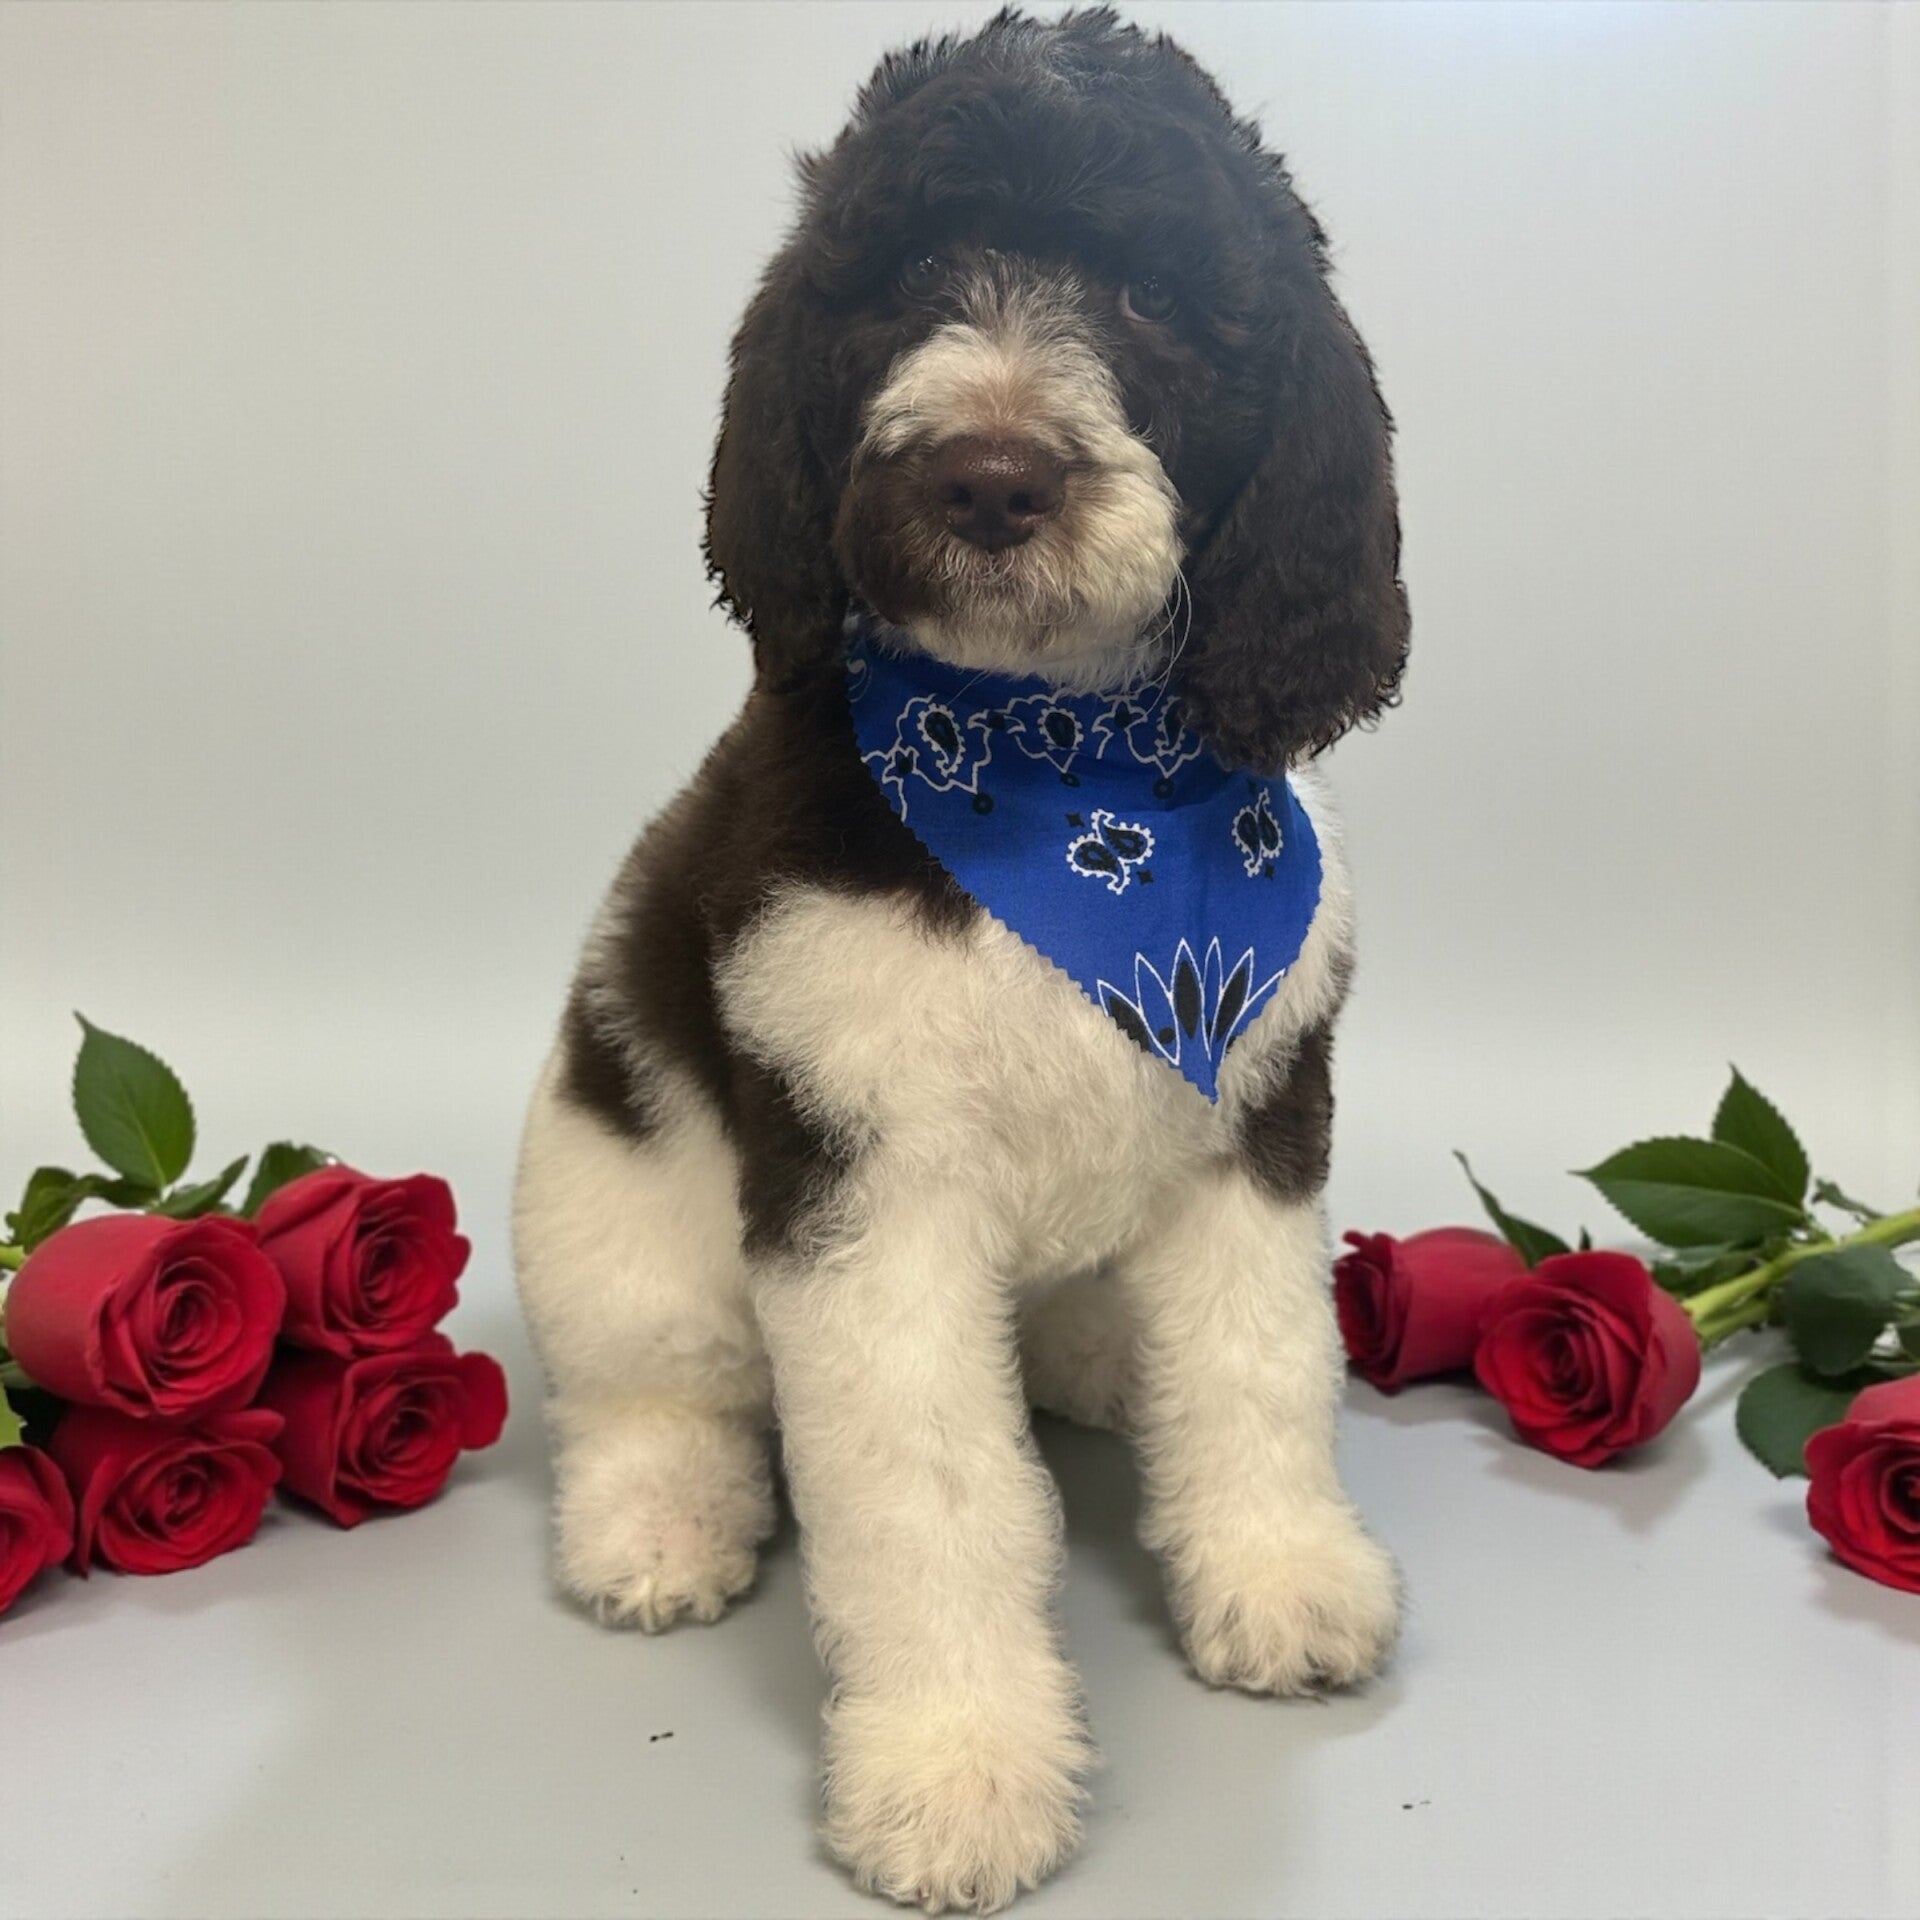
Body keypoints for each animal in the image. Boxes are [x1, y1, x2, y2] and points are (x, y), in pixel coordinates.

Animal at [513, 8, 1410, 1910]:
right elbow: (929, 1500)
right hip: (609, 1209)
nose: (988, 472)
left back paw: (1096, 1359)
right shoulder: (867, 1195)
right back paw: (659, 1517)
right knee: (653, 1389)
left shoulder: (1256, 1125)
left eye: (1151, 296)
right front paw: (957, 1769)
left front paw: (1279, 1576)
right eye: (913, 278)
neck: (1067, 769)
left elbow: (1258, 1369)